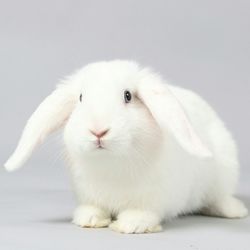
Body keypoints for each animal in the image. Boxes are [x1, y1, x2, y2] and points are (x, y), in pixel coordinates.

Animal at [4, 60, 248, 232]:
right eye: (81, 98)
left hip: (224, 173)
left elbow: (143, 212)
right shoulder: (87, 193)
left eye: (128, 96)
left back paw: (236, 212)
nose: (98, 130)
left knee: (219, 197)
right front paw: (90, 219)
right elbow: (93, 208)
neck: (112, 163)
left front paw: (131, 225)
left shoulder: (153, 198)